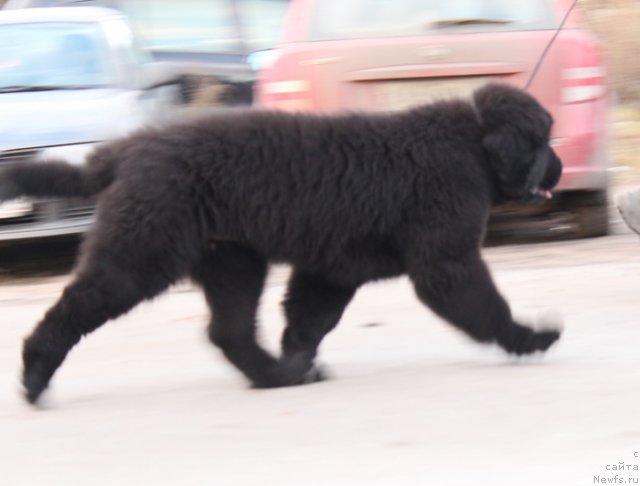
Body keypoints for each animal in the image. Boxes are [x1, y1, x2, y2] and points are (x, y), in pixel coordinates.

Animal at [0, 81, 560, 404]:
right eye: (544, 139)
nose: (557, 168)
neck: (472, 143)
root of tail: (124, 150)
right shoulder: (445, 260)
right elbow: (483, 305)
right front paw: (529, 338)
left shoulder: (333, 268)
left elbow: (309, 320)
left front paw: (300, 362)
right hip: (143, 249)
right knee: (77, 307)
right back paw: (34, 376)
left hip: (230, 260)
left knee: (228, 331)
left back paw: (274, 375)